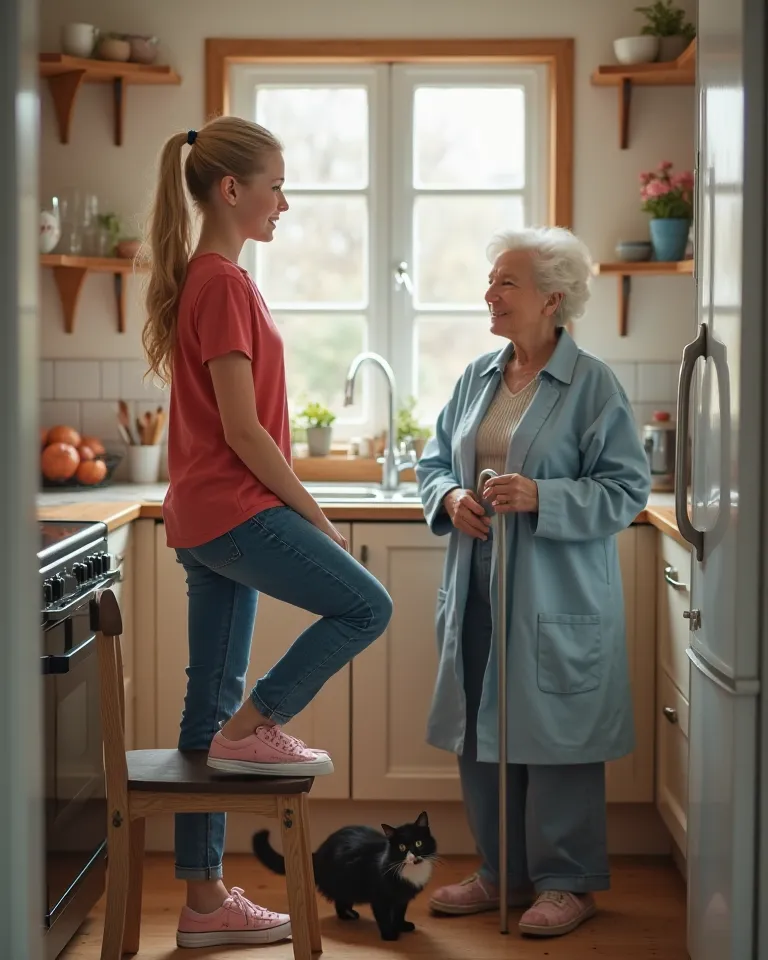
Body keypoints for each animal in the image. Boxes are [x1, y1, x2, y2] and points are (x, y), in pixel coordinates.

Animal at [254, 808, 438, 936]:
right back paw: (348, 915)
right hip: (345, 882)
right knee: (339, 902)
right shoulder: (380, 897)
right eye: (401, 847)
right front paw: (390, 935)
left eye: (419, 843)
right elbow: (384, 916)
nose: (414, 855)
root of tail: (318, 853)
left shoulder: (402, 898)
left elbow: (400, 913)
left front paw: (401, 926)